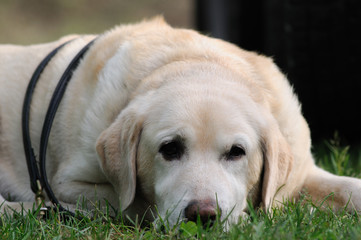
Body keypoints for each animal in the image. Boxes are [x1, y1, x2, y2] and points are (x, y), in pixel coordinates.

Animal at [0, 17, 360, 226]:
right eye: (169, 149)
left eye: (237, 152)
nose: (203, 215)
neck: (196, 63)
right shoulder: (68, 185)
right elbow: (133, 203)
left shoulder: (302, 170)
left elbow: (348, 187)